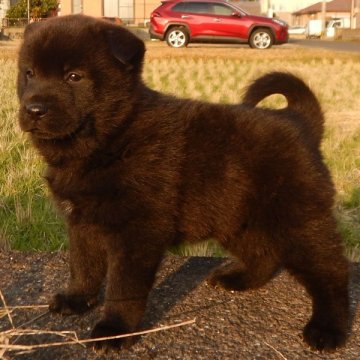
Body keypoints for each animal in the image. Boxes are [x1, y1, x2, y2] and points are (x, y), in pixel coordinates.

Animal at [16, 14, 348, 352]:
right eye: (29, 74)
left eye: (74, 76)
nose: (33, 109)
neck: (113, 137)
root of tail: (300, 121)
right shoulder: (82, 221)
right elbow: (83, 265)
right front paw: (76, 299)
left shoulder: (136, 231)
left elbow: (123, 288)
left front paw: (114, 330)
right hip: (235, 217)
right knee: (264, 253)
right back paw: (237, 279)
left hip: (297, 217)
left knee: (331, 270)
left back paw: (327, 329)